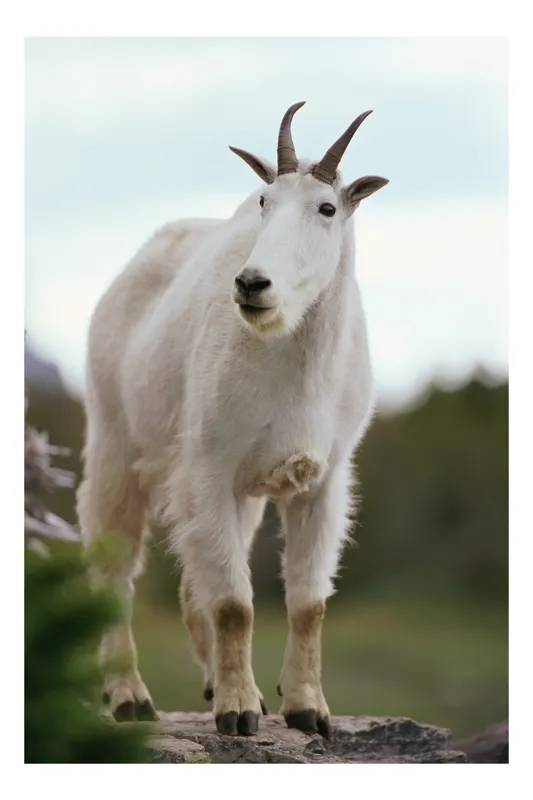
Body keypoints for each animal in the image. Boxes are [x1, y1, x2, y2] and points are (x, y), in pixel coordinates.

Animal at [77, 102, 388, 738]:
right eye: (264, 201)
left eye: (327, 208)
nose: (251, 283)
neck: (293, 359)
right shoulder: (208, 466)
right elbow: (235, 604)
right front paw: (239, 712)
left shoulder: (322, 480)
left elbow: (308, 603)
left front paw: (306, 710)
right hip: (117, 446)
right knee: (116, 570)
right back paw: (129, 697)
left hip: (242, 495)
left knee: (192, 581)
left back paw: (211, 683)